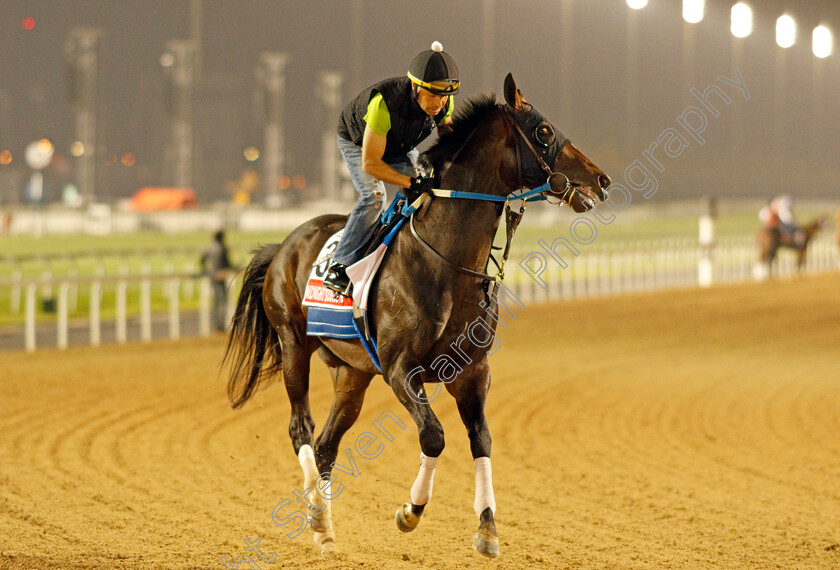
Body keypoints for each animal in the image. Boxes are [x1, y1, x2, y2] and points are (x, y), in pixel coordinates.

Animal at [223, 73, 612, 556]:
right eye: (543, 130)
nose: (602, 180)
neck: (446, 262)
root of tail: (284, 245)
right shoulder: (399, 368)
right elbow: (434, 436)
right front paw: (410, 511)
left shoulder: (472, 370)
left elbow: (480, 439)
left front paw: (487, 527)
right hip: (294, 342)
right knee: (302, 429)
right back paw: (316, 513)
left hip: (353, 372)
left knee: (328, 443)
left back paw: (326, 530)